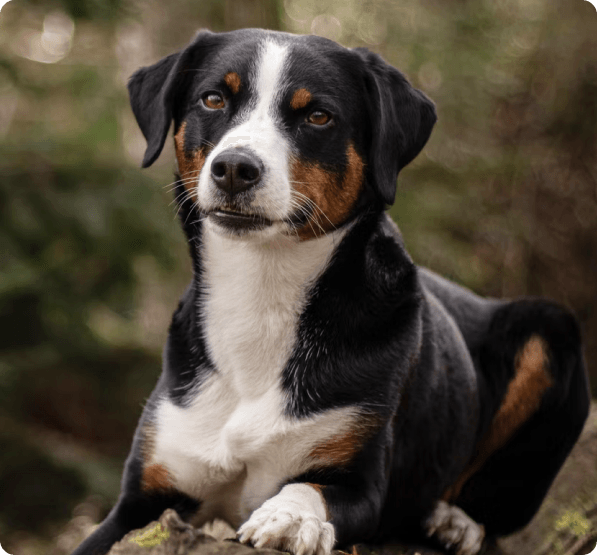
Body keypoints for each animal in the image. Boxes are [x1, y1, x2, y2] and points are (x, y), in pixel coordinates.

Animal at [72, 28, 588, 555]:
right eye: (213, 99)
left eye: (318, 116)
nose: (234, 167)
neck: (261, 295)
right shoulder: (140, 499)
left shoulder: (361, 481)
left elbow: (310, 487)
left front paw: (289, 517)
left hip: (549, 330)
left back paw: (452, 521)